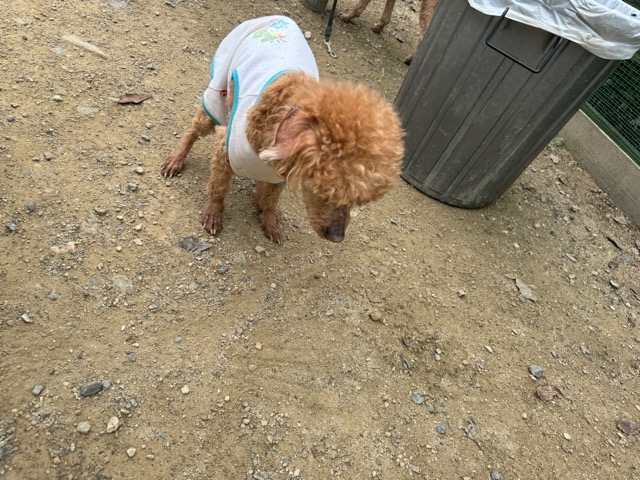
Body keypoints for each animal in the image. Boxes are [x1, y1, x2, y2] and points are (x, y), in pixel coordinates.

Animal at [161, 16, 404, 244]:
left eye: (357, 201)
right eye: (326, 192)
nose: (337, 237)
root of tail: (278, 17)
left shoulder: (279, 175)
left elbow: (270, 200)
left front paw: (270, 222)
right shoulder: (225, 150)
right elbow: (219, 187)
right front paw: (214, 214)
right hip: (219, 93)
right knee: (194, 129)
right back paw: (176, 159)